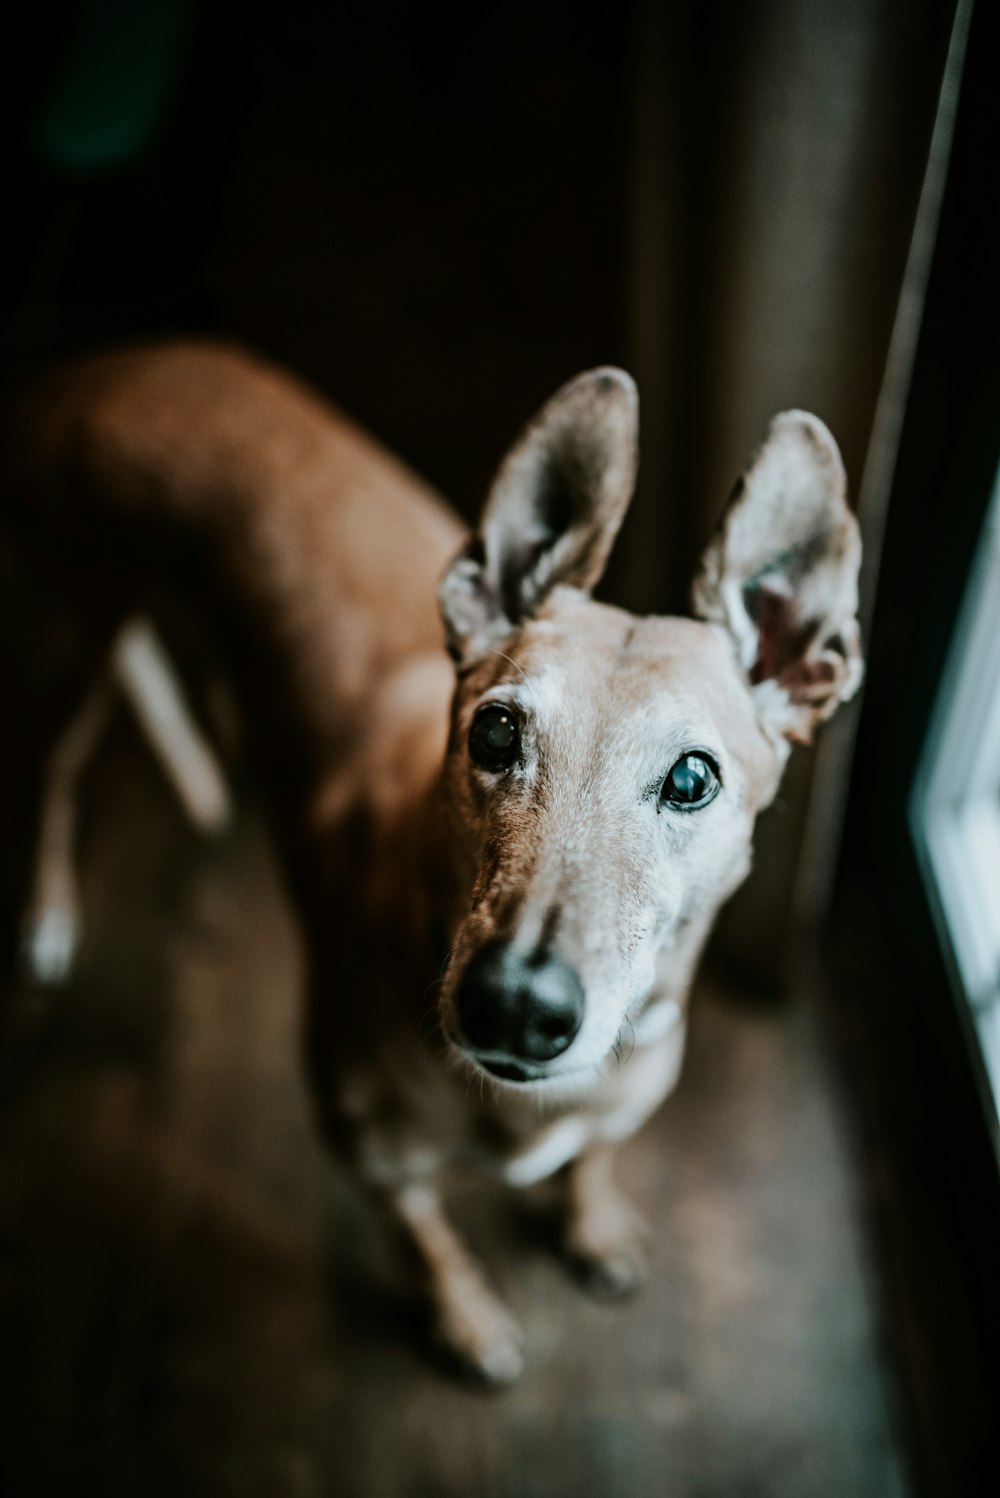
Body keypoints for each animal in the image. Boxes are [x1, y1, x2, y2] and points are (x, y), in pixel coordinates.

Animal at [0, 340, 862, 1378]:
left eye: (693, 778)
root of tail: (109, 359)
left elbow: (595, 1159)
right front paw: (466, 1320)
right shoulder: (373, 1159)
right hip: (64, 637)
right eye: (494, 732)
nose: (518, 1006)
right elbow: (427, 1243)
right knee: (49, 773)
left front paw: (595, 1225)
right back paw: (47, 916)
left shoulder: (621, 1105)